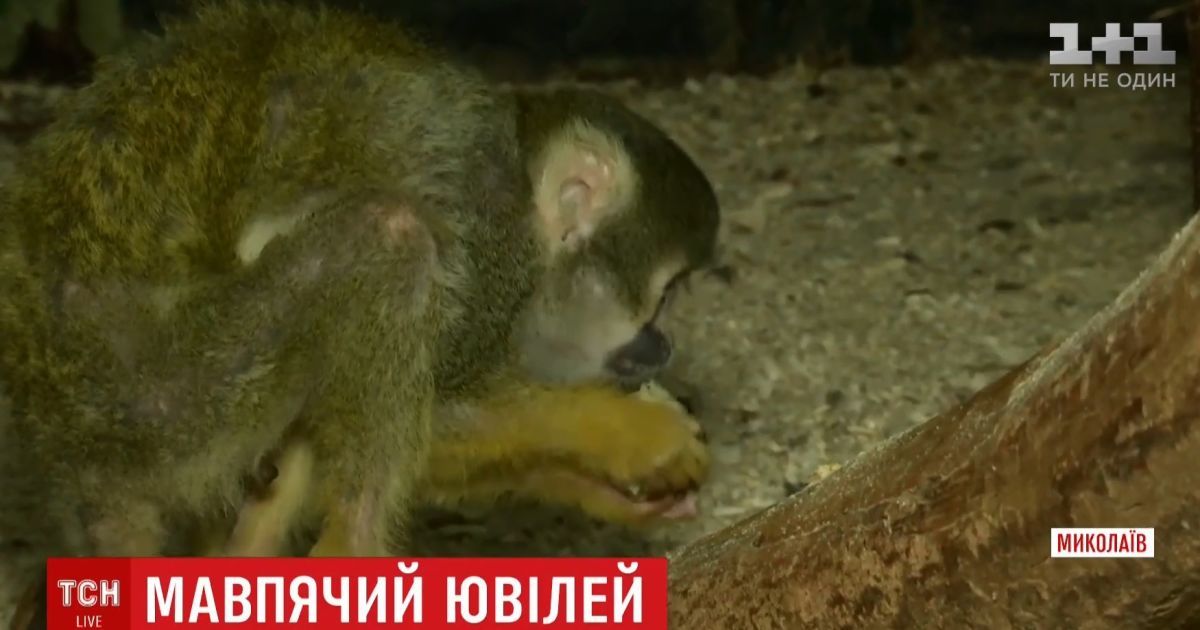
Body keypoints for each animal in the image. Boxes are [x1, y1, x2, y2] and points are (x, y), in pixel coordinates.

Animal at [0, 0, 720, 597]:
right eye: (662, 298)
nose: (664, 345)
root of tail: (57, 447)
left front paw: (623, 492)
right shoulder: (478, 231)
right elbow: (441, 412)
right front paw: (632, 436)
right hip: (157, 396)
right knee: (390, 238)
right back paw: (352, 554)